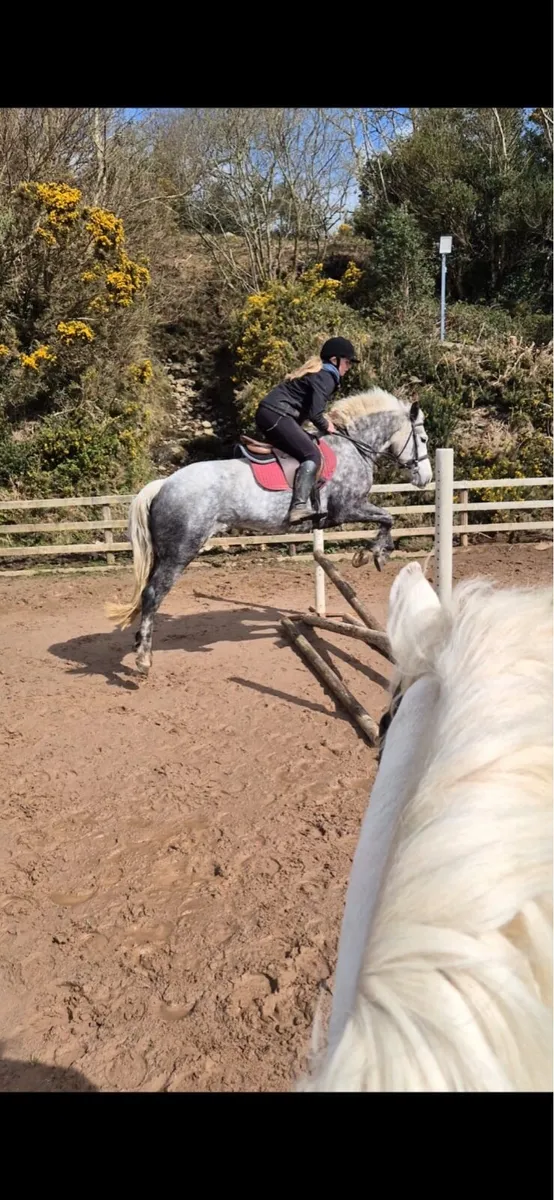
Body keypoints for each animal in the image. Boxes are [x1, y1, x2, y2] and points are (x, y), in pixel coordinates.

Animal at [105, 388, 432, 675]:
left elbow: (386, 519)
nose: (426, 479)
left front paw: (372, 553)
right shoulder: (347, 509)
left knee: (148, 594)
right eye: (423, 438)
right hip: (181, 550)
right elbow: (387, 518)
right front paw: (375, 554)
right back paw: (143, 659)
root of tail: (164, 484)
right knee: (153, 594)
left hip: (164, 552)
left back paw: (138, 644)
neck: (353, 447)